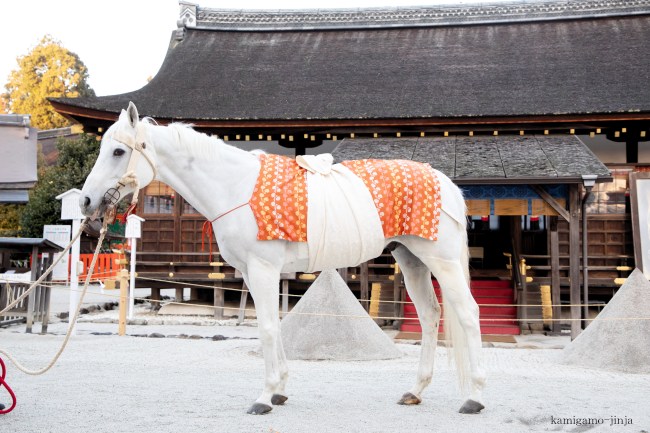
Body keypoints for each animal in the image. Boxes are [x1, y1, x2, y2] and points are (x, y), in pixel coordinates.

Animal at [79, 102, 486, 415]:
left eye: (118, 152)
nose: (85, 202)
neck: (236, 187)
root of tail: (446, 183)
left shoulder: (262, 269)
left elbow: (267, 328)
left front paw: (264, 397)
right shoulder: (256, 273)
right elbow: (273, 324)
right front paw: (279, 391)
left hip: (441, 261)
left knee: (467, 312)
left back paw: (475, 396)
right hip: (411, 259)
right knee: (431, 315)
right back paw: (416, 390)